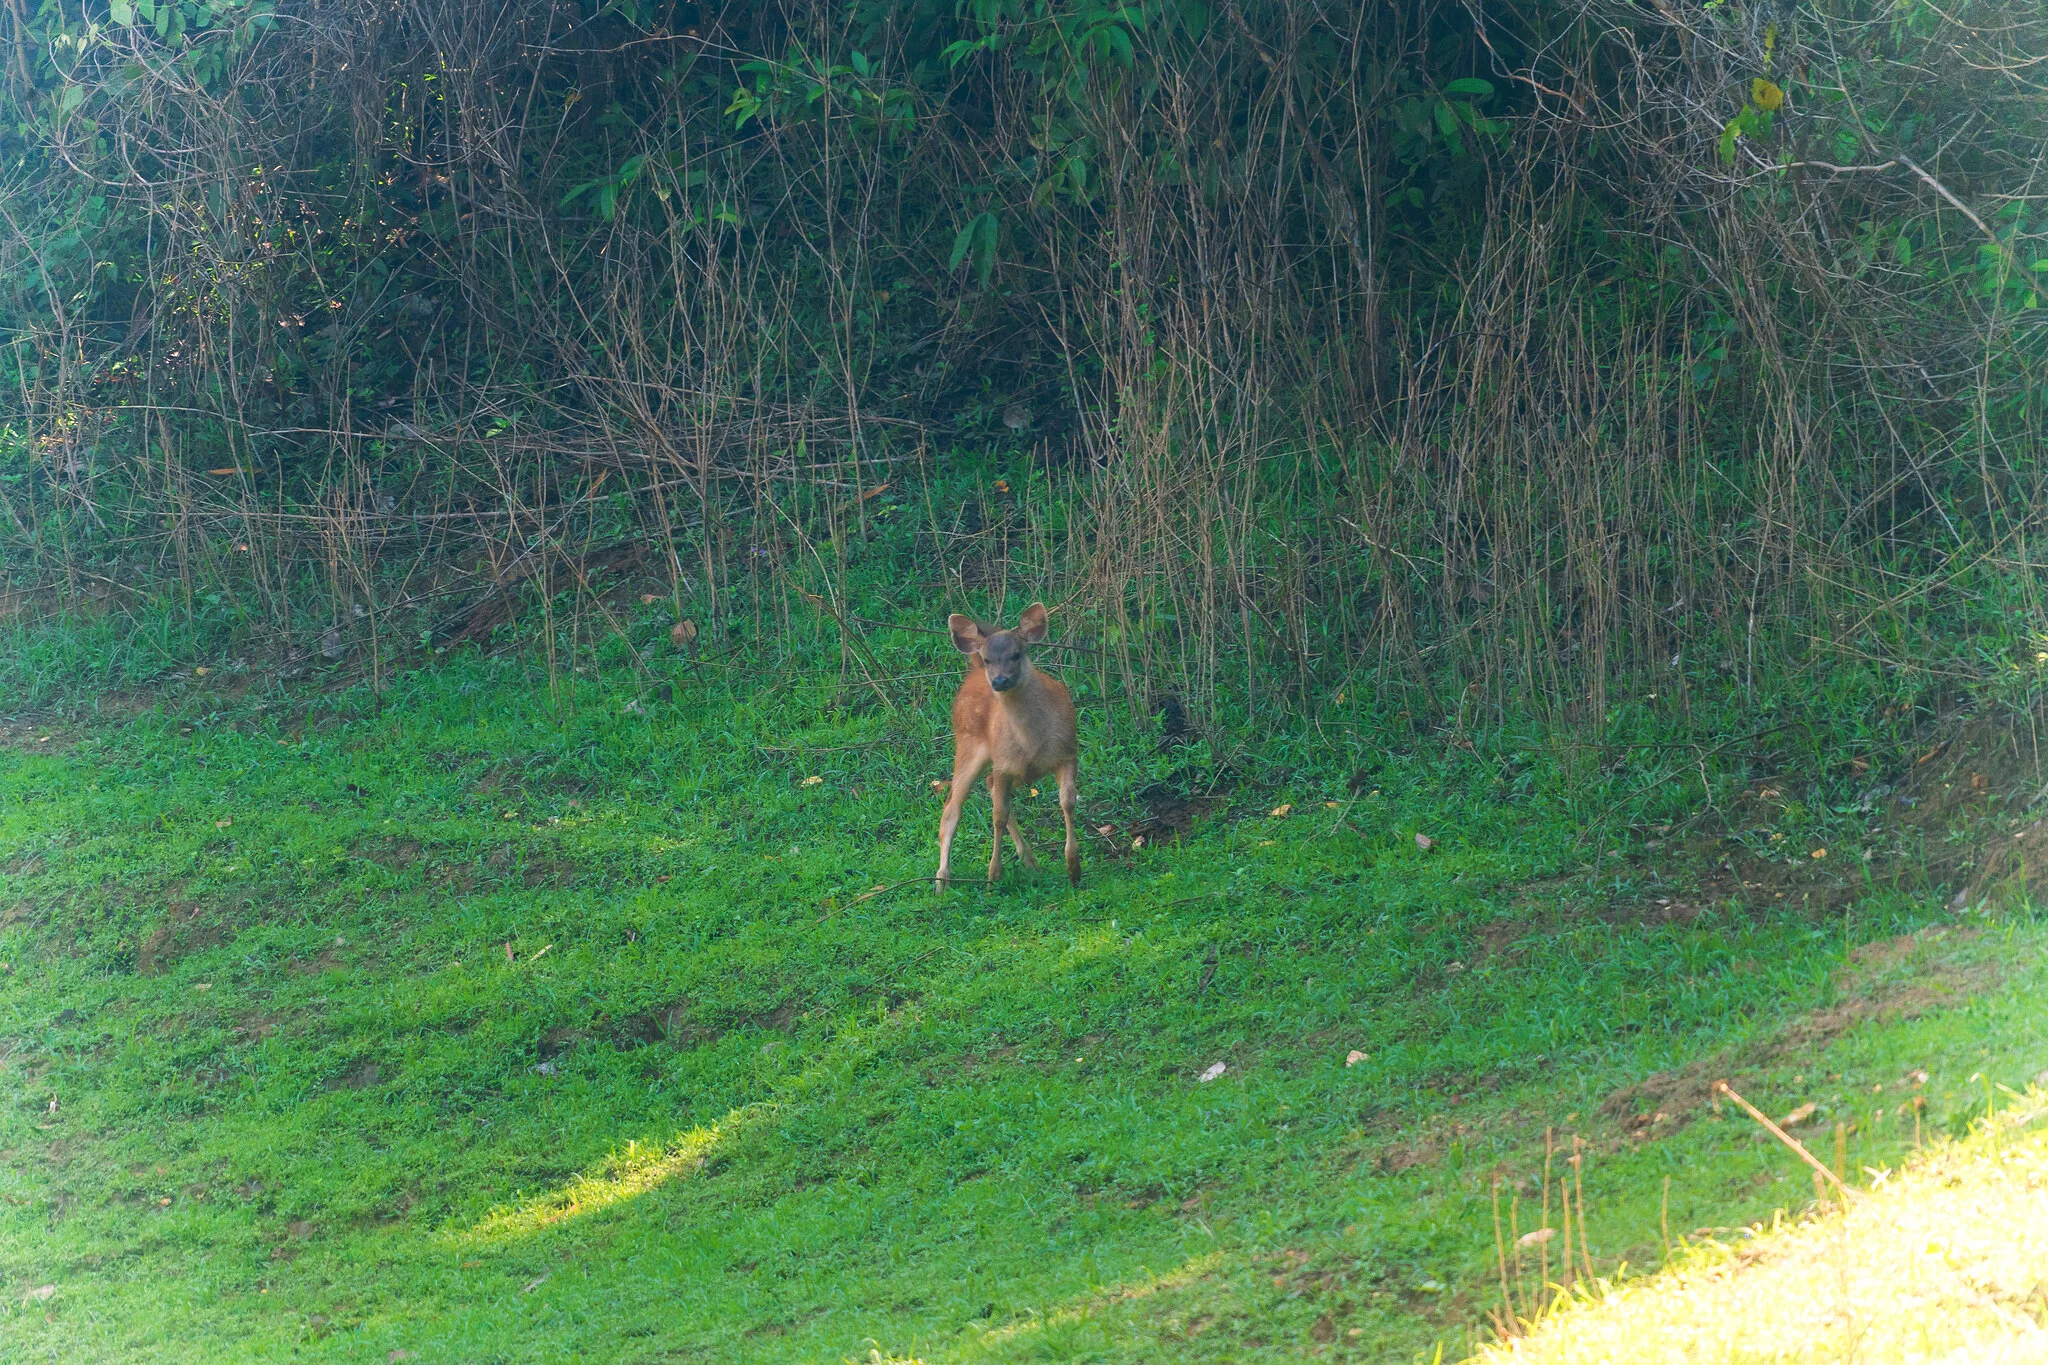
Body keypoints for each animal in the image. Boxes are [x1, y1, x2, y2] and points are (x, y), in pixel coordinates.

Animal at [936, 602, 1080, 892]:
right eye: (989, 659)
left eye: (1016, 654)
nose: (999, 681)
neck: (1032, 741)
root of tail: (973, 672)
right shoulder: (1004, 764)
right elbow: (998, 816)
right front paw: (993, 875)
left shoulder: (1068, 753)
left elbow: (1067, 802)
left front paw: (1074, 868)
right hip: (968, 744)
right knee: (951, 809)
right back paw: (941, 881)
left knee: (989, 783)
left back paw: (1031, 861)